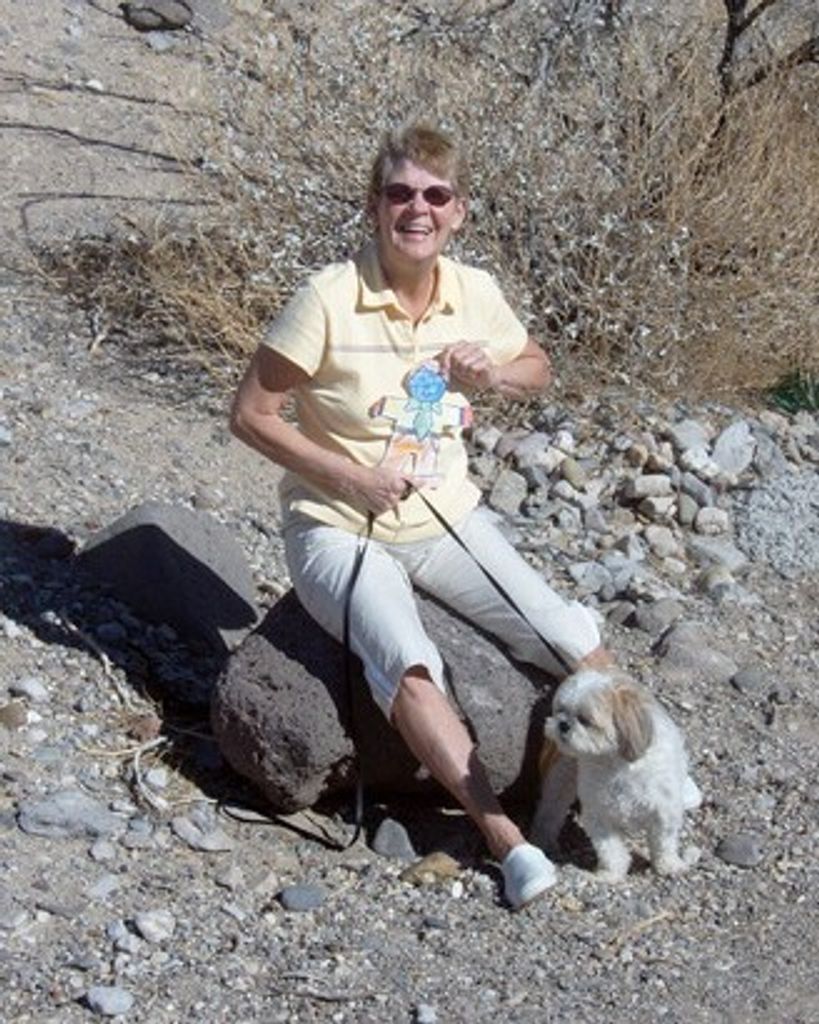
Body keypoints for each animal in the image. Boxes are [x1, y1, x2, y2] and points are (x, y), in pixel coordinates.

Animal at [530, 669, 702, 881]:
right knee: (551, 811)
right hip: (561, 779)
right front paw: (610, 874)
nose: (563, 724)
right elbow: (610, 850)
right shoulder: (599, 815)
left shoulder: (664, 810)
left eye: (585, 720)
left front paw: (669, 865)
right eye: (560, 710)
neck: (615, 764)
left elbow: (664, 842)